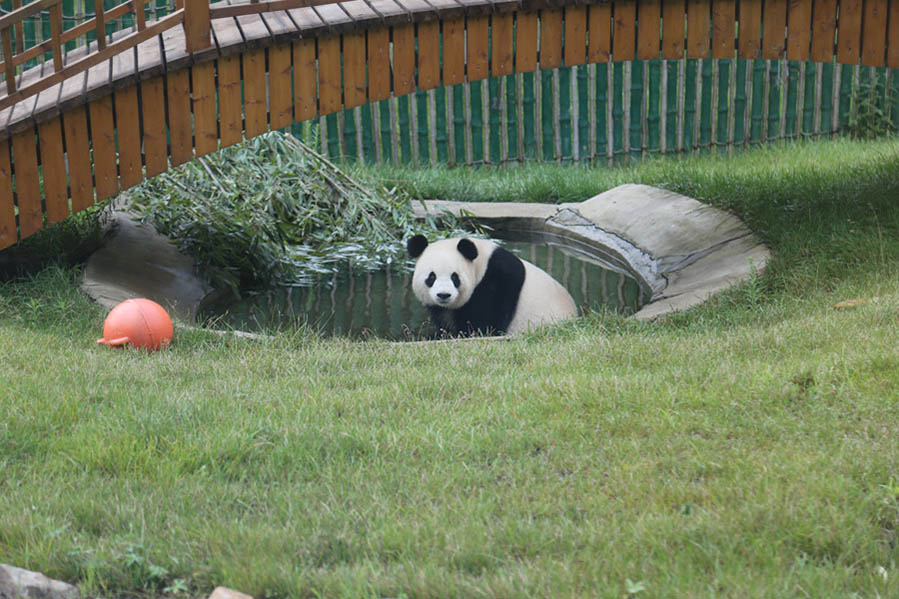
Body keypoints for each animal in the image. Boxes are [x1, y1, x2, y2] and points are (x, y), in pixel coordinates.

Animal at [406, 234, 576, 338]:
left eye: (455, 277)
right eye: (431, 277)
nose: (443, 295)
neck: (480, 266)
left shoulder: (496, 282)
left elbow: (486, 324)